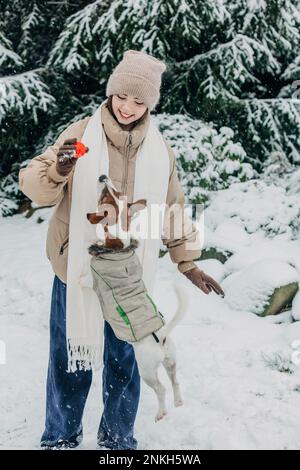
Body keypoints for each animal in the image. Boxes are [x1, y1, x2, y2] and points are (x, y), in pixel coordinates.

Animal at [85, 175, 188, 422]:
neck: (119, 243)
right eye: (117, 192)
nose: (103, 176)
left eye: (107, 195)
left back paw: (161, 412)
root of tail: (161, 336)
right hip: (171, 362)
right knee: (175, 381)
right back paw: (179, 401)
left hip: (148, 370)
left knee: (161, 388)